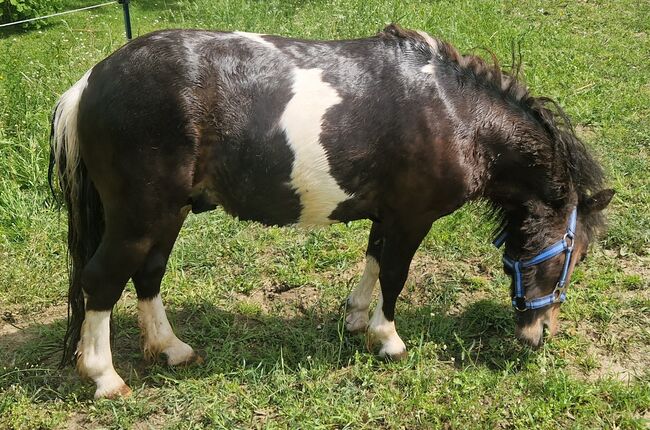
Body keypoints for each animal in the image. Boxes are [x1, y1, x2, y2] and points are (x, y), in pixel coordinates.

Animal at [49, 24, 608, 400]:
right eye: (573, 257)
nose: (539, 335)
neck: (457, 115)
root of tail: (91, 81)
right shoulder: (412, 217)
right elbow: (395, 274)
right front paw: (388, 339)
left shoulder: (387, 215)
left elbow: (374, 261)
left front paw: (358, 318)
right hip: (139, 217)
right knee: (102, 281)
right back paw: (104, 376)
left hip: (167, 215)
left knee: (148, 274)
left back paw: (171, 348)